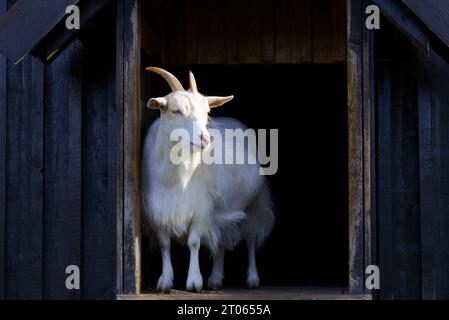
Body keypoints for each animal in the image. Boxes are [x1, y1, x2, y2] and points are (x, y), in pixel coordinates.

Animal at [141, 67, 272, 292]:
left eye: (207, 113)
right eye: (176, 110)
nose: (205, 139)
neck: (173, 178)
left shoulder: (201, 207)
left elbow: (194, 242)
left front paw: (194, 282)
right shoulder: (157, 210)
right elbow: (164, 244)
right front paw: (165, 281)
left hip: (255, 203)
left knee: (251, 239)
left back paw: (252, 278)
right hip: (223, 207)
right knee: (221, 240)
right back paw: (216, 279)